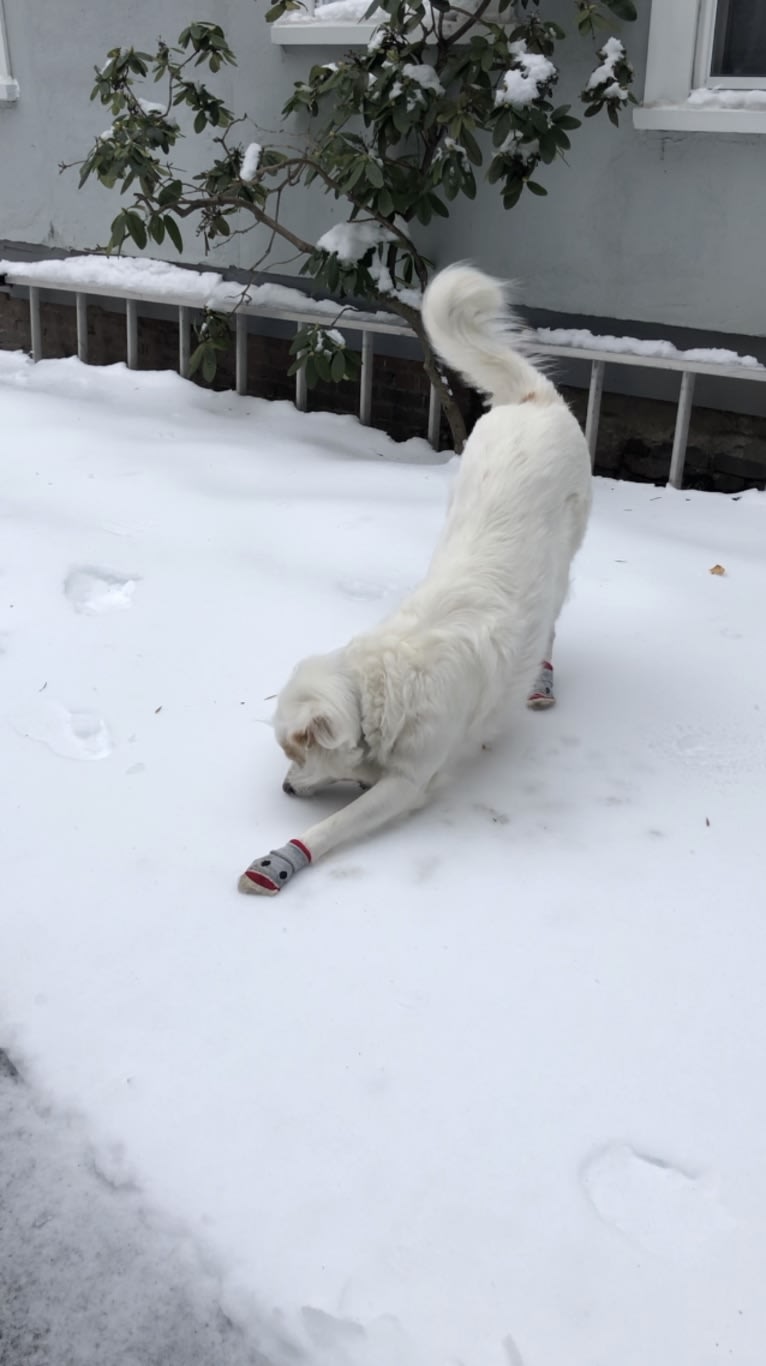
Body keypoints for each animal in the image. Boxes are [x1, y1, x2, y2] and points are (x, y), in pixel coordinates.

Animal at [238, 263, 592, 896]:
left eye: (297, 754)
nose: (284, 788)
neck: (375, 690)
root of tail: (532, 398)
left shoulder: (410, 780)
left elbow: (339, 822)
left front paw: (282, 857)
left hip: (567, 550)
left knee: (552, 619)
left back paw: (542, 680)